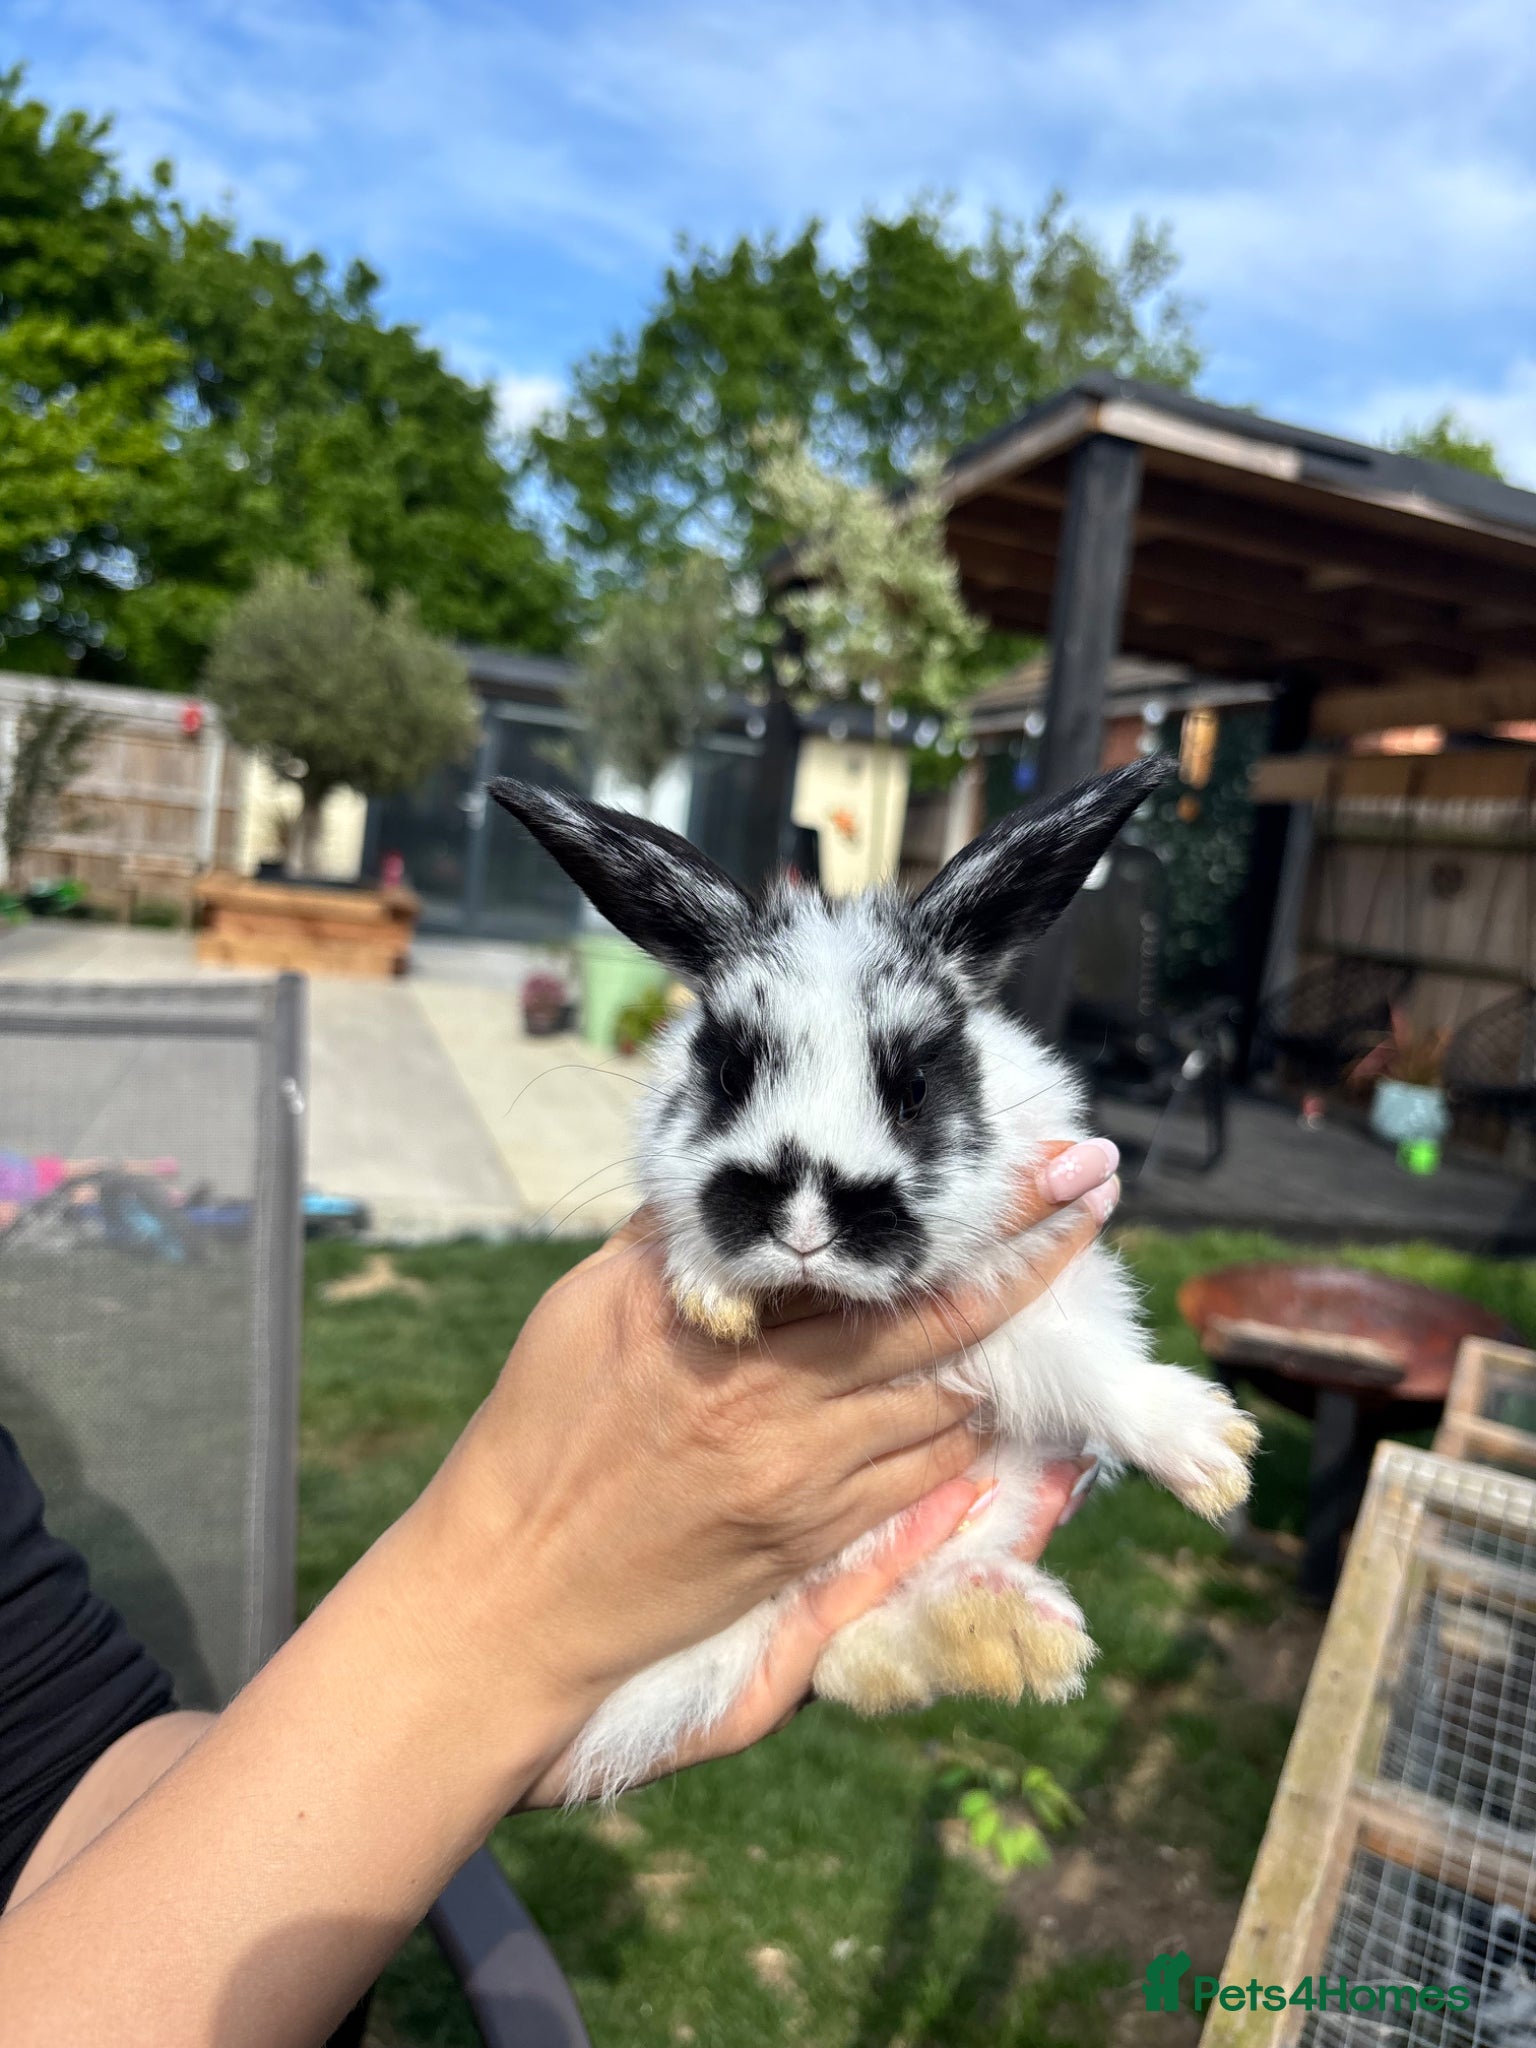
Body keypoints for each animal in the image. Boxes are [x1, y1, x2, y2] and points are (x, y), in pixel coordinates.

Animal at [489, 756, 1257, 1800]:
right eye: (728, 1072)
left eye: (917, 1087)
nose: (807, 1223)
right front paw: (712, 1297)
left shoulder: (1026, 1302)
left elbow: (1087, 1371)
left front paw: (1213, 1458)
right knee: (848, 1655)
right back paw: (1000, 1638)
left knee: (861, 1647)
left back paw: (1006, 1637)